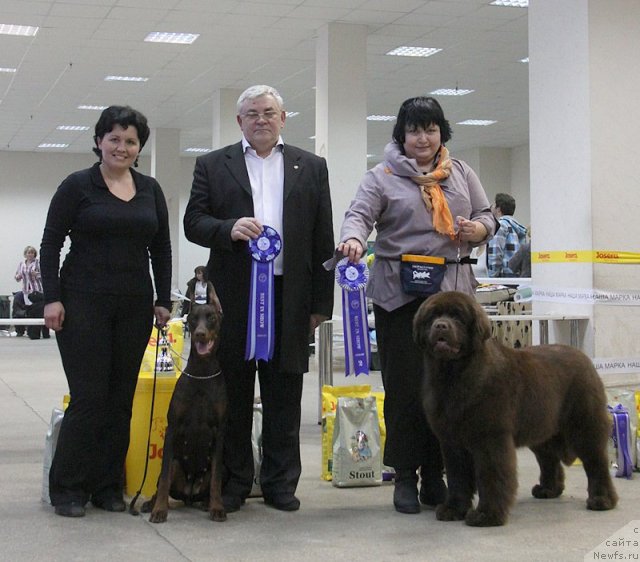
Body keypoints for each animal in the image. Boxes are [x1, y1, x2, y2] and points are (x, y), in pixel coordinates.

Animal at [142, 302, 228, 520]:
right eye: (194, 318)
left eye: (211, 317)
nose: (199, 334)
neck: (203, 372)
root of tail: (189, 493)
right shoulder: (173, 427)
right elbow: (164, 477)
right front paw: (159, 510)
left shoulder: (219, 431)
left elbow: (216, 479)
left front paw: (217, 508)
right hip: (176, 464)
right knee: (163, 483)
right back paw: (151, 504)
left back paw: (206, 503)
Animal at [412, 290, 616, 524]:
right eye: (432, 317)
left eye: (457, 317)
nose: (441, 326)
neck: (454, 374)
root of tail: (584, 357)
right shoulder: (451, 441)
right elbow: (457, 477)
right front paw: (453, 509)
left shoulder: (490, 438)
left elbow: (491, 475)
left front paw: (487, 515)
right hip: (540, 425)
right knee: (548, 458)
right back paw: (548, 490)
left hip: (584, 424)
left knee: (596, 462)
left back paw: (602, 500)